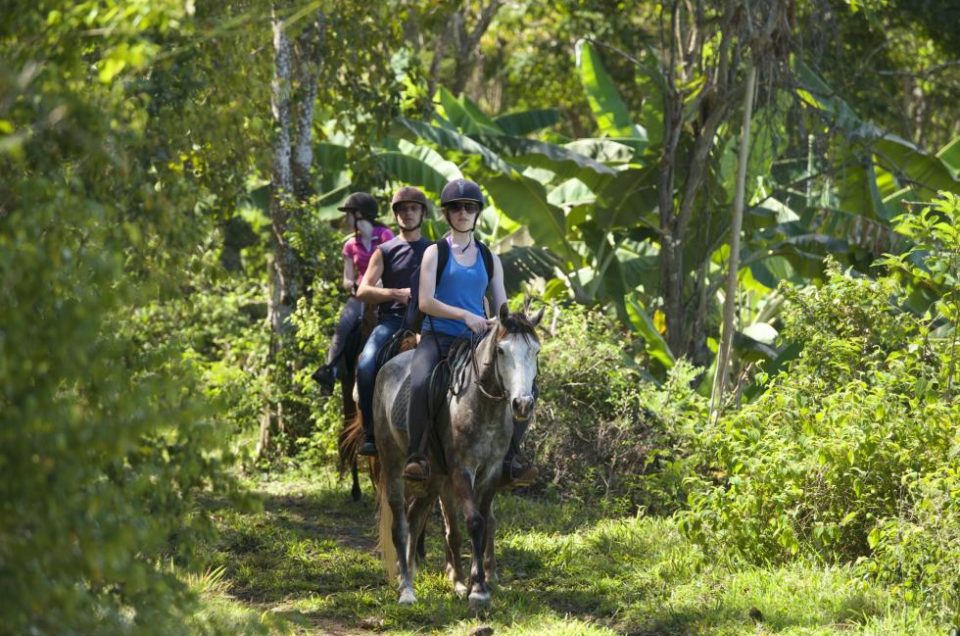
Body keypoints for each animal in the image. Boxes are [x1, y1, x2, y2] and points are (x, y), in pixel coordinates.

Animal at [374, 304, 540, 608]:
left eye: (535, 350)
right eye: (501, 350)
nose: (522, 404)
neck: (483, 405)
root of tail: (389, 365)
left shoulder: (491, 471)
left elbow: (485, 521)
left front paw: (478, 582)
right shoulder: (462, 469)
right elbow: (473, 521)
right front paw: (477, 590)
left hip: (433, 478)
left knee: (415, 518)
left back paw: (411, 573)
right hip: (392, 464)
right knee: (400, 524)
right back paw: (406, 589)